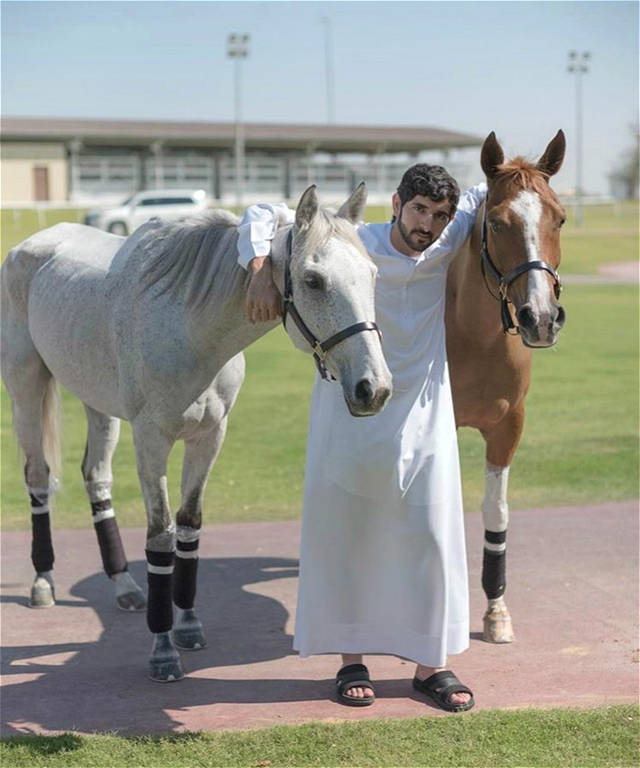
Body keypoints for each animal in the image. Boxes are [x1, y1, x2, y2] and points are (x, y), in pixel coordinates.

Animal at [2, 183, 392, 680]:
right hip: (26, 386)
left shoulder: (210, 436)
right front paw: (162, 648)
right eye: (313, 281)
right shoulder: (151, 440)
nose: (374, 388)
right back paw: (43, 581)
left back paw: (124, 585)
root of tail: (32, 245)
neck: (189, 325)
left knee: (96, 476)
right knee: (37, 477)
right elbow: (160, 536)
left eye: (373, 274)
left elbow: (189, 526)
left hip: (97, 401)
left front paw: (187, 624)